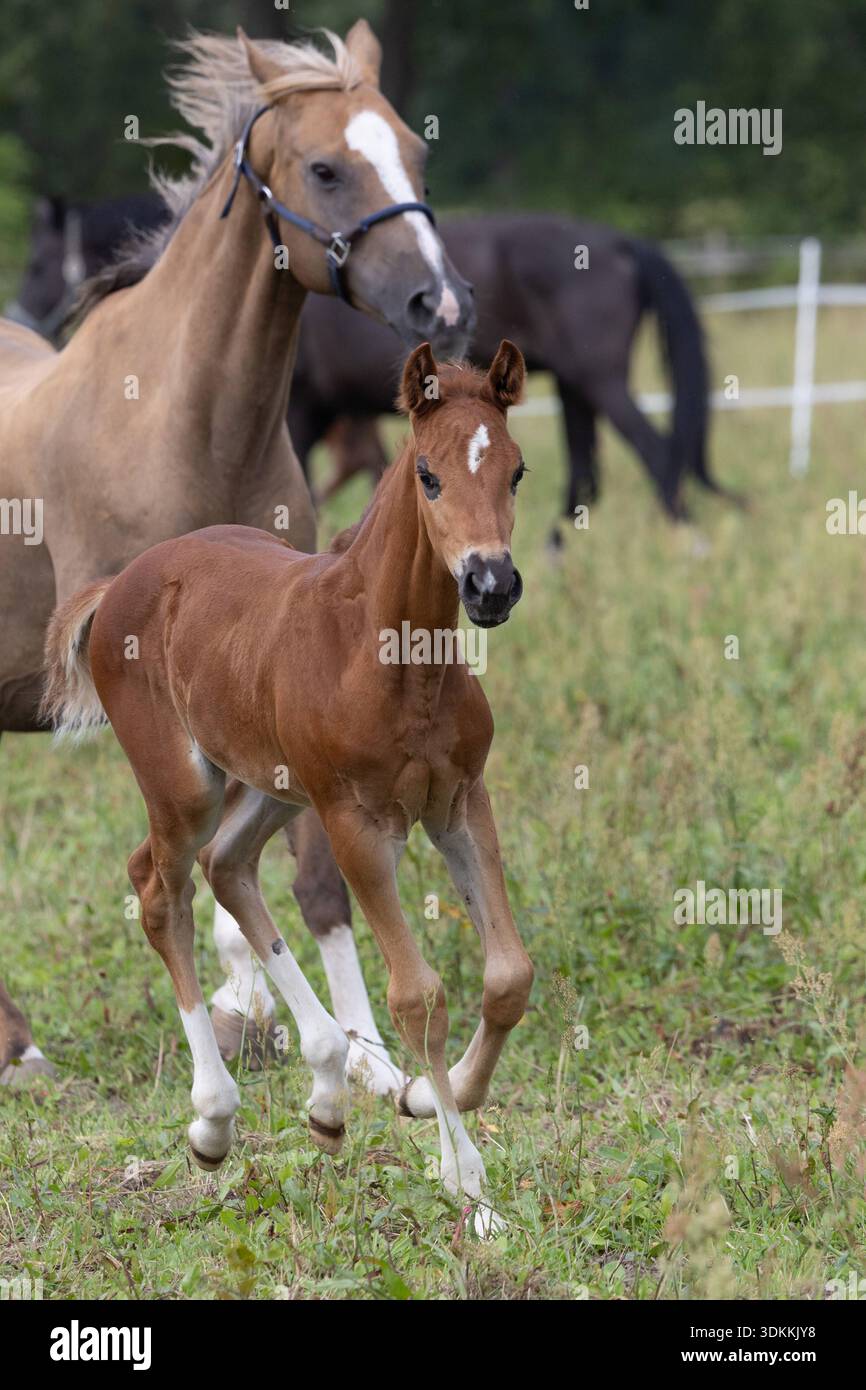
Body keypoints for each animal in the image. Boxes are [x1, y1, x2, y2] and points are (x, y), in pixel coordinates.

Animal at [0, 21, 474, 1091]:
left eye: (416, 156)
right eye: (326, 167)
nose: (441, 301)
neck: (181, 420)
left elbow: (314, 876)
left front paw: (370, 1058)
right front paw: (248, 1012)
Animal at [42, 339, 534, 1234]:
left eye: (515, 470)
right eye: (428, 474)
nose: (491, 585)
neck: (395, 656)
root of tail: (121, 583)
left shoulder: (459, 802)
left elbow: (508, 977)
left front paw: (424, 1095)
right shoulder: (354, 822)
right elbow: (418, 995)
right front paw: (471, 1190)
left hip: (271, 785)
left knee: (228, 867)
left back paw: (330, 1088)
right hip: (190, 789)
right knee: (159, 889)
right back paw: (212, 1120)